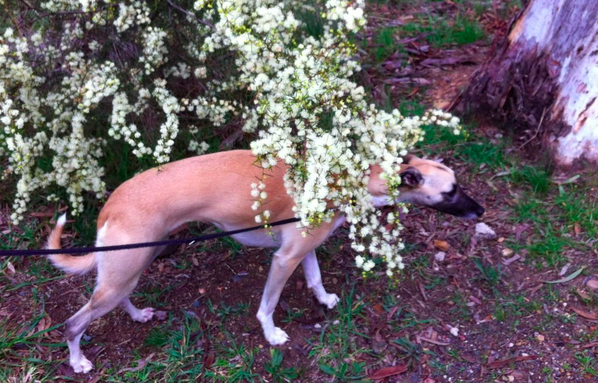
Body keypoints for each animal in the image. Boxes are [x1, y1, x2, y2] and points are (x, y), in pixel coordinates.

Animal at [49, 151, 486, 376]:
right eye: (450, 192)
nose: (481, 211)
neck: (346, 177)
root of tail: (113, 202)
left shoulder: (304, 249)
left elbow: (315, 278)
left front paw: (324, 300)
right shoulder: (284, 258)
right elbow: (268, 306)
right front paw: (272, 335)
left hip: (131, 267)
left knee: (116, 297)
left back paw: (138, 315)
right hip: (123, 273)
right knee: (73, 323)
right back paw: (78, 360)